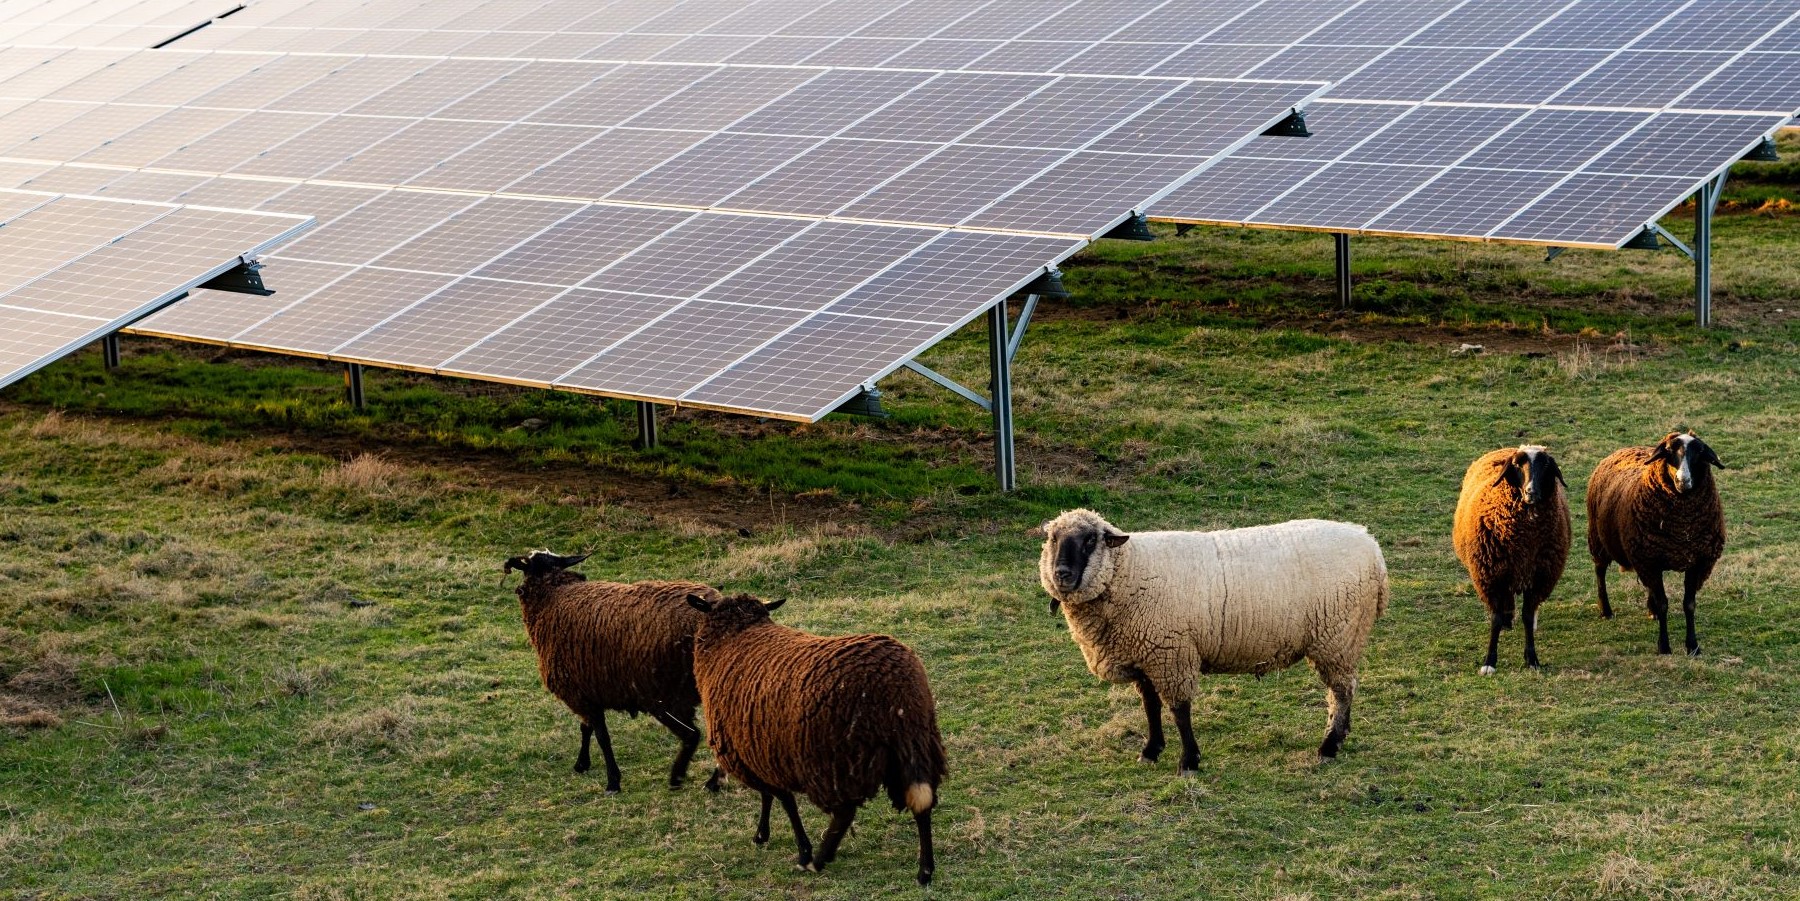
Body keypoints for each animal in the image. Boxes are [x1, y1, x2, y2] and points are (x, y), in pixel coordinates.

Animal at [504, 546, 720, 794]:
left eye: (526, 565)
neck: (554, 593)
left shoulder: (580, 692)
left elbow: (602, 736)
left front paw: (613, 781)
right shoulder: (588, 690)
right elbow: (585, 728)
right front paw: (582, 764)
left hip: (663, 696)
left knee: (693, 735)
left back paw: (679, 777)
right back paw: (711, 781)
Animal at [680, 589, 950, 884]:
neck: (735, 635)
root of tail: (897, 688)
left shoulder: (754, 755)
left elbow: (782, 800)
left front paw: (800, 848)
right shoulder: (762, 753)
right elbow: (772, 796)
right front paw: (763, 834)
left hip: (836, 760)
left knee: (845, 813)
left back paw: (819, 860)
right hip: (916, 745)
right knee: (923, 804)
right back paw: (925, 870)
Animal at [1036, 507, 1382, 766]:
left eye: (1090, 540)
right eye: (1052, 538)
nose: (1062, 574)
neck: (1129, 570)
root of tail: (1370, 543)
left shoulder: (1171, 653)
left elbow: (1179, 710)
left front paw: (1189, 760)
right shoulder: (1145, 656)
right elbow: (1150, 706)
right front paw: (1151, 750)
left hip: (1336, 637)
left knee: (1341, 690)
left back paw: (1330, 745)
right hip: (1341, 639)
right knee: (1344, 690)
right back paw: (1341, 735)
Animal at [1447, 446, 1576, 672]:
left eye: (1546, 464)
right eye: (1517, 464)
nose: (1531, 491)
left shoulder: (1538, 578)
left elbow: (1527, 615)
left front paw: (1532, 659)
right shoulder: (1493, 577)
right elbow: (1496, 618)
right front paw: (1489, 662)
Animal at [1591, 429, 1728, 654]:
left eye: (1699, 452)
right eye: (1669, 451)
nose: (1683, 481)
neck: (1683, 529)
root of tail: (1625, 448)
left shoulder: (1697, 561)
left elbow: (1689, 604)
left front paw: (1693, 646)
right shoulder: (1651, 560)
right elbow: (1664, 603)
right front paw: (1664, 646)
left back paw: (1650, 609)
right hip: (1599, 540)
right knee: (1600, 572)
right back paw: (1606, 610)